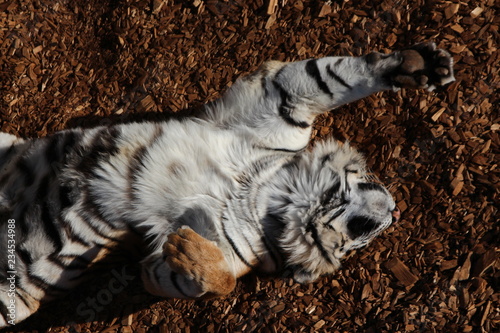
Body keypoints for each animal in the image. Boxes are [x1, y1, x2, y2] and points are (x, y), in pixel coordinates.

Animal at [0, 40, 454, 324]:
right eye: (362, 235)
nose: (396, 211)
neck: (274, 199)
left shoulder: (158, 268)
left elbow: (220, 279)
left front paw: (189, 252)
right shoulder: (279, 102)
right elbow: (332, 76)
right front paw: (416, 66)